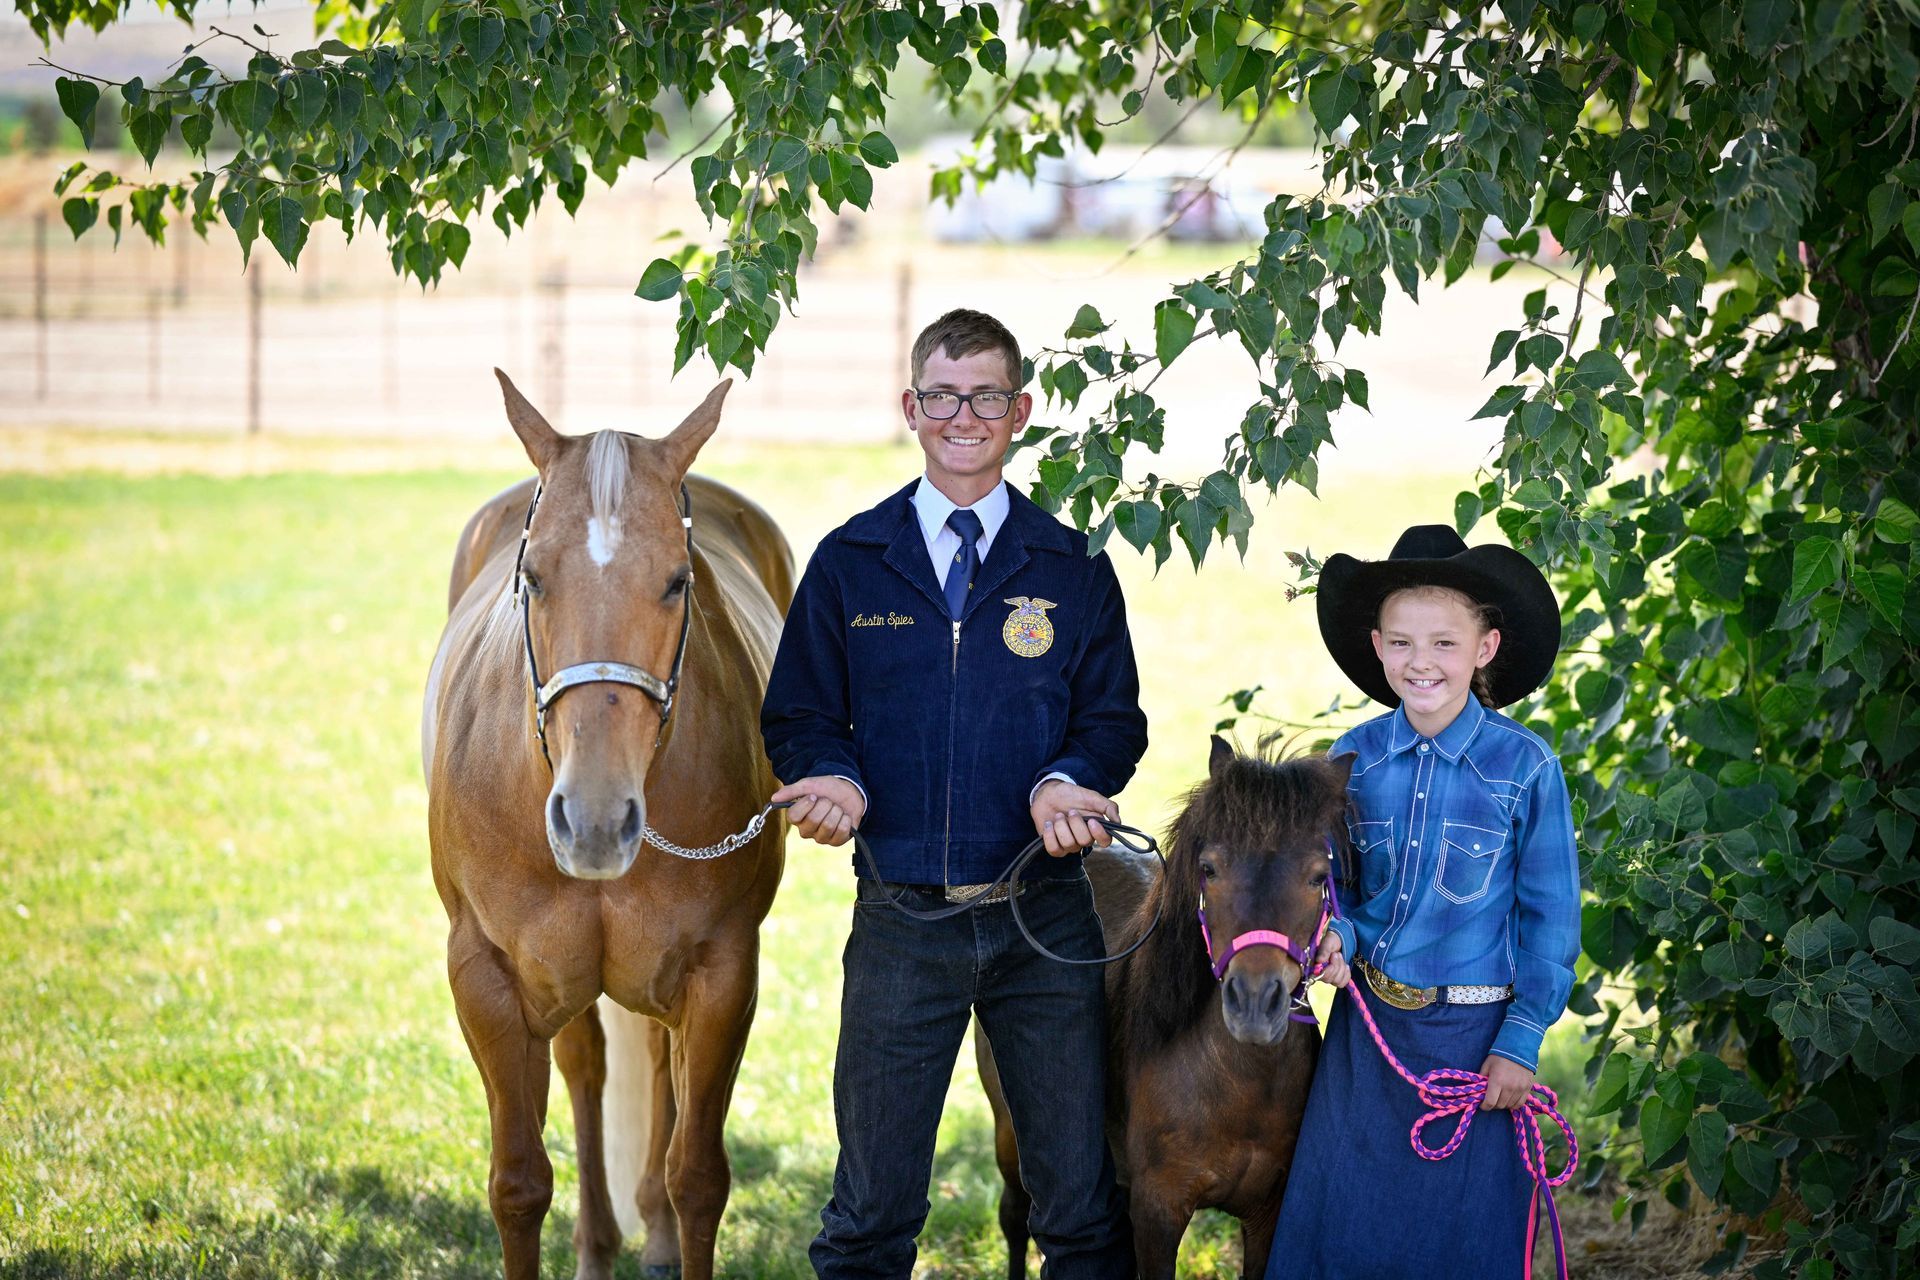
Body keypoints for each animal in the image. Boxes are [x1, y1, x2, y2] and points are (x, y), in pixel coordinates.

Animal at [424, 372, 791, 1280]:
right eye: (532, 576)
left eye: (677, 581)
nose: (594, 820)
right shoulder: (484, 976)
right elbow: (518, 1184)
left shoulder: (723, 973)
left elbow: (699, 1177)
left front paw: (672, 1219)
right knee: (586, 1066)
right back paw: (597, 1247)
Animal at [990, 740, 1351, 1280]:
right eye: (1210, 869)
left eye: (1318, 877)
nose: (1253, 1005)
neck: (1239, 1085)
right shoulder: (1158, 1211)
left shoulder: (1267, 1212)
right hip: (1009, 1133)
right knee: (1015, 1217)